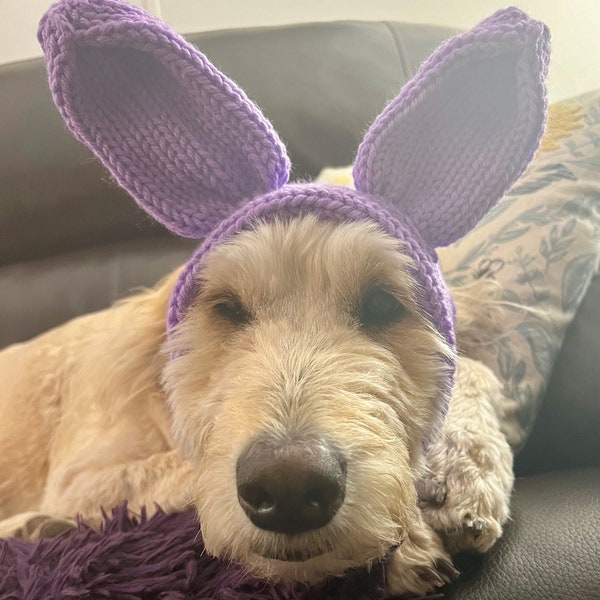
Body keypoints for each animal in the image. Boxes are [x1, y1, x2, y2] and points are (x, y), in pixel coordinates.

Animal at [0, 2, 548, 596]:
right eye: (226, 308)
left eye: (383, 304)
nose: (289, 487)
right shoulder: (83, 476)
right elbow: (179, 470)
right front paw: (412, 533)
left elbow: (475, 367)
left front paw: (462, 464)